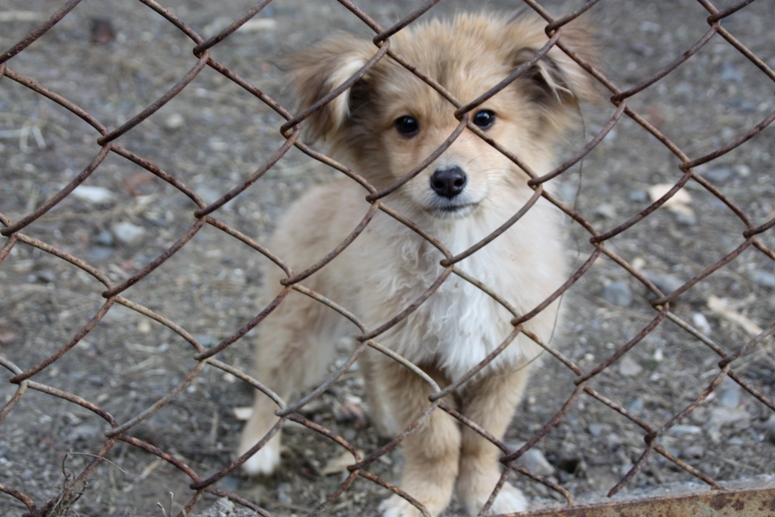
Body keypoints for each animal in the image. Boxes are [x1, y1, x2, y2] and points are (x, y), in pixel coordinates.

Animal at [239, 11, 596, 516]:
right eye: (406, 124)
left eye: (483, 118)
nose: (447, 179)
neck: (460, 250)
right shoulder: (411, 359)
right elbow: (436, 443)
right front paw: (421, 499)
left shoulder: (504, 360)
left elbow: (482, 442)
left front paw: (486, 492)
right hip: (297, 325)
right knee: (270, 384)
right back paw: (260, 447)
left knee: (365, 369)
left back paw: (385, 419)